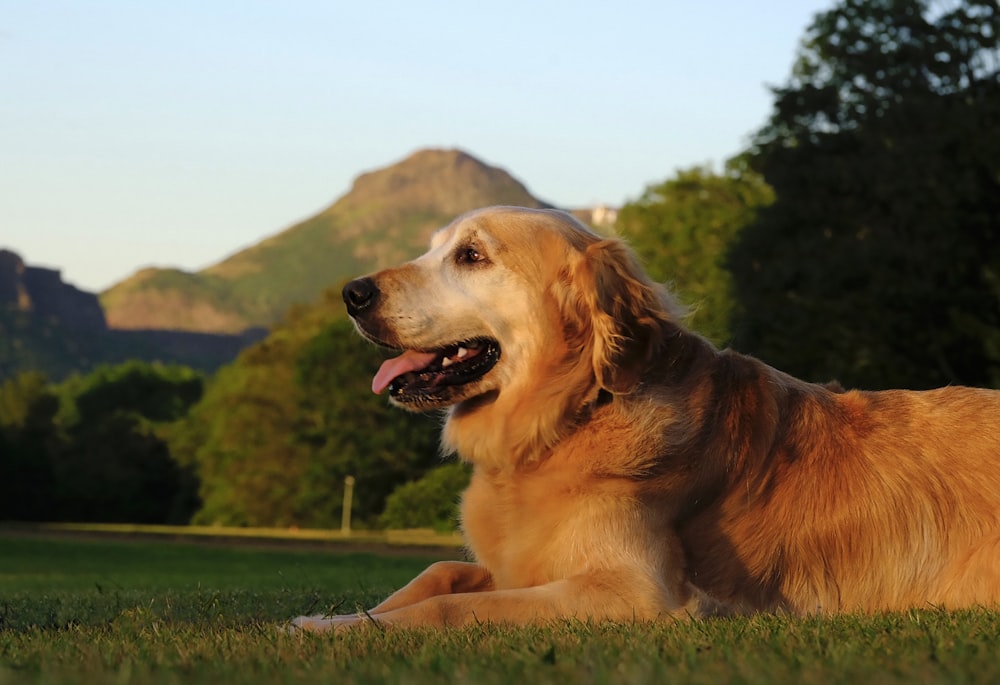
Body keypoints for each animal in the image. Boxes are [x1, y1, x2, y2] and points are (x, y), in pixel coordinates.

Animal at [292, 204, 1000, 632]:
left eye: (472, 256)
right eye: (435, 247)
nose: (352, 293)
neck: (569, 420)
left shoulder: (635, 591)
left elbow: (448, 608)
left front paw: (344, 631)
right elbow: (438, 572)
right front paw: (332, 620)